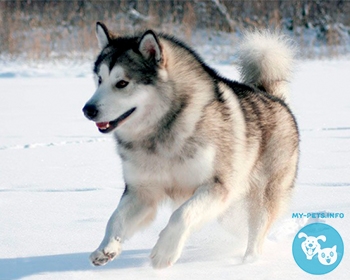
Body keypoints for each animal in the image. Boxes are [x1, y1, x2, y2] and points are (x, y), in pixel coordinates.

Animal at [82, 22, 298, 270]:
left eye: (122, 83)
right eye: (99, 79)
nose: (88, 110)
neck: (161, 134)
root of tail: (272, 96)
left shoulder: (216, 186)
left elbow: (181, 214)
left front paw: (164, 251)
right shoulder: (142, 191)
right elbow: (115, 218)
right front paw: (106, 247)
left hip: (260, 194)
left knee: (256, 231)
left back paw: (249, 262)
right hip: (230, 210)